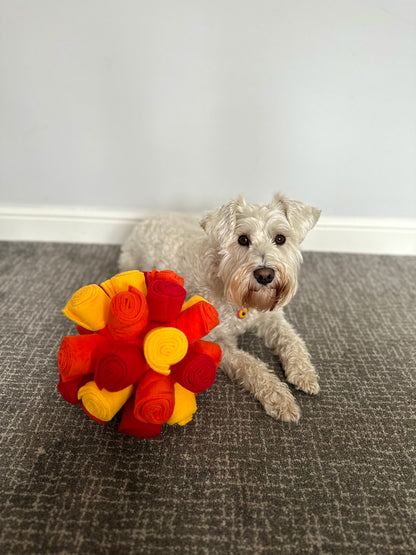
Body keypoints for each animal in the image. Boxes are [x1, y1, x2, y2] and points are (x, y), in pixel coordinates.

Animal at [120, 193, 322, 424]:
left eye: (280, 238)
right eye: (242, 239)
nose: (265, 275)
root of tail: (147, 219)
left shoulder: (271, 318)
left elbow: (292, 339)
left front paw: (304, 372)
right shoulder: (215, 341)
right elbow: (250, 364)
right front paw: (279, 396)